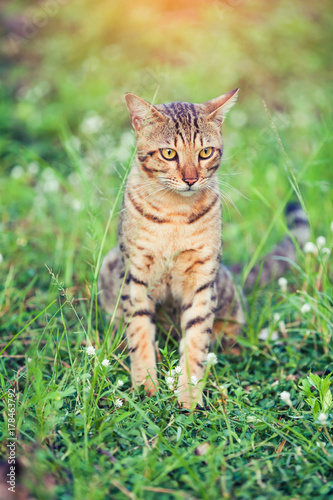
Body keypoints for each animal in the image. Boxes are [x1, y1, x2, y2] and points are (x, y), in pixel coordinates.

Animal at [97, 90, 310, 408]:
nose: (190, 178)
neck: (174, 214)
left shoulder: (202, 279)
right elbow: (140, 334)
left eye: (206, 152)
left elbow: (196, 341)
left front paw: (188, 396)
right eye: (169, 153)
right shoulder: (136, 276)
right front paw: (146, 387)